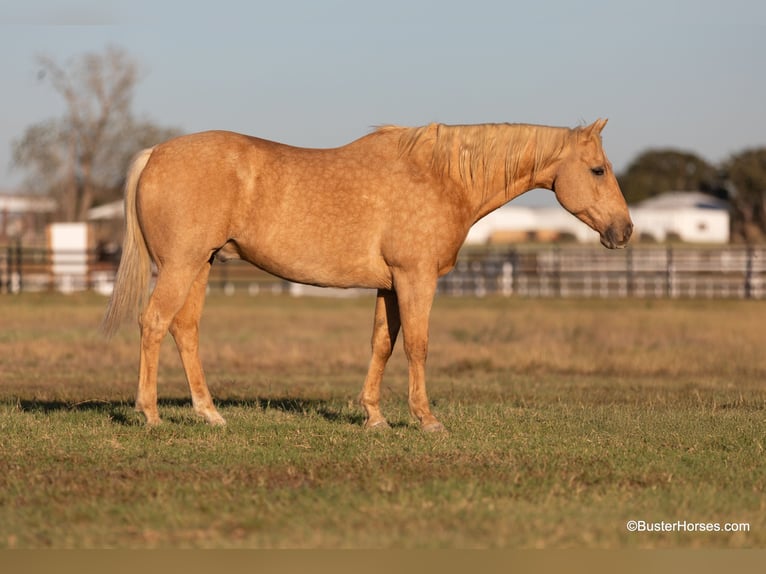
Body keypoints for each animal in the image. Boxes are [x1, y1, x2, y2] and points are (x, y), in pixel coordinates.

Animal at [102, 119, 633, 432]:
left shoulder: (389, 285)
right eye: (598, 169)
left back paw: (209, 413)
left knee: (185, 330)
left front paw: (374, 417)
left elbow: (382, 344)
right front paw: (426, 419)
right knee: (154, 324)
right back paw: (150, 414)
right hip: (181, 265)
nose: (624, 230)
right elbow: (417, 345)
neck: (440, 177)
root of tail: (155, 153)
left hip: (201, 265)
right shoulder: (416, 278)